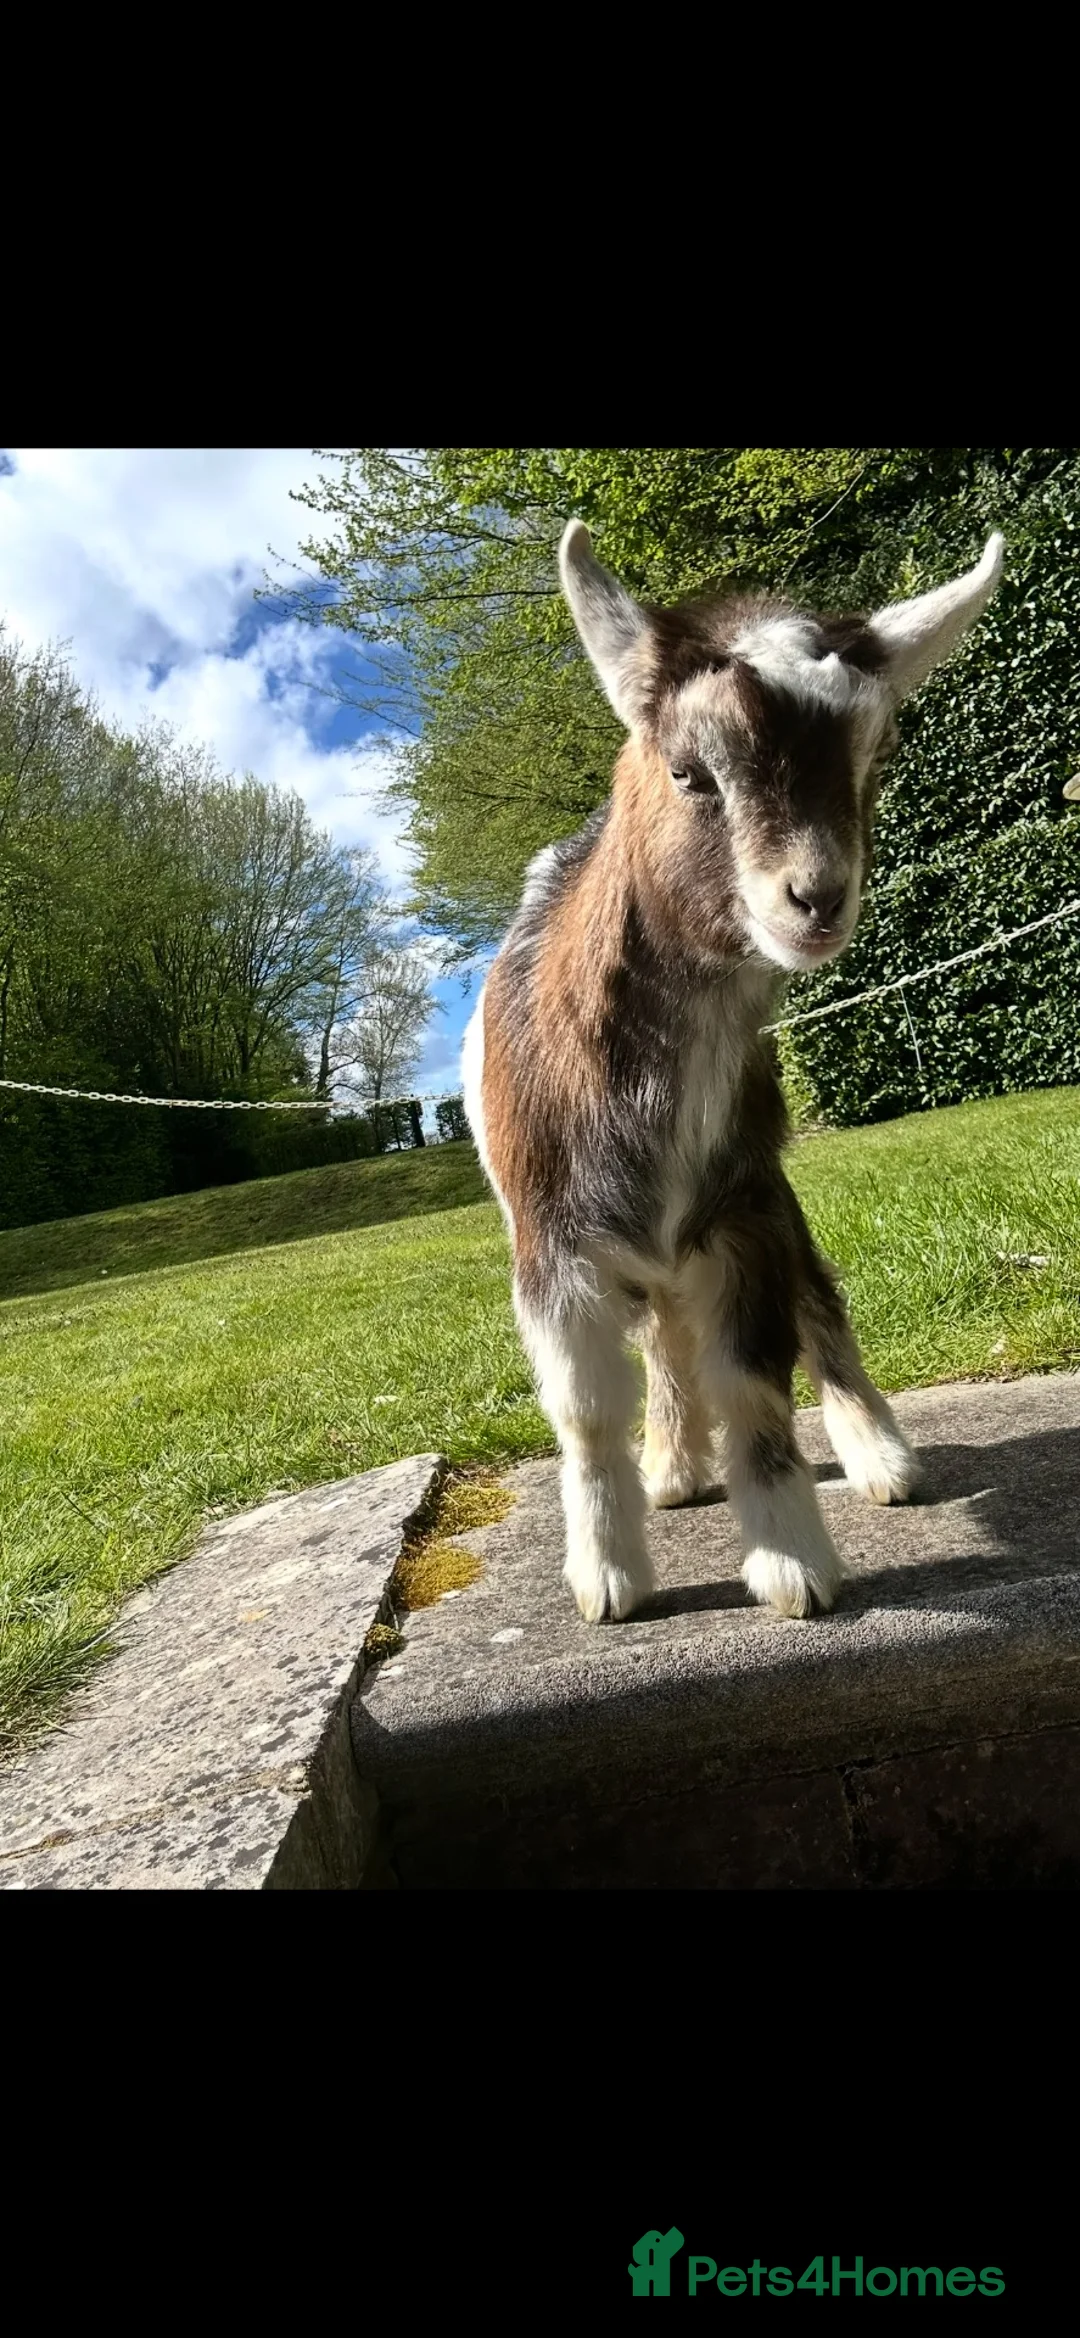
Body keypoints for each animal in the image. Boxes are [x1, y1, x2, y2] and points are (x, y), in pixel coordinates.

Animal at [462, 521, 1004, 1622]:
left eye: (874, 756)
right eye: (688, 773)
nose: (816, 899)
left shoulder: (745, 1202)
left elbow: (755, 1376)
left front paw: (794, 1563)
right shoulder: (549, 1241)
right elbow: (585, 1411)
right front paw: (608, 1580)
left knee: (813, 1301)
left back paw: (879, 1456)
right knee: (666, 1336)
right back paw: (673, 1471)